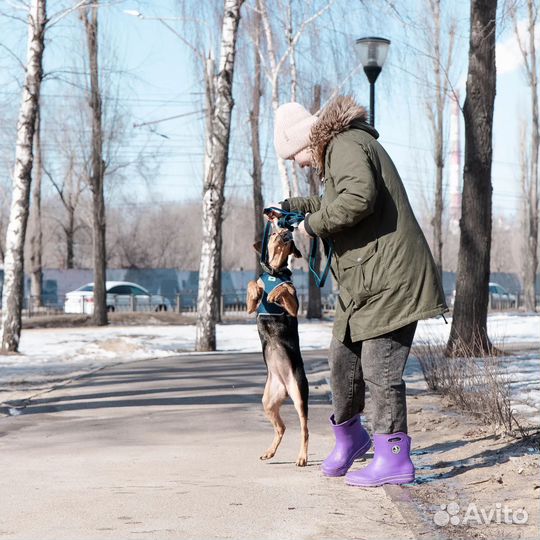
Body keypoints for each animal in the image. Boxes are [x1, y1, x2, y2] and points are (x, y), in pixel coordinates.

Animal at [246, 226, 308, 466]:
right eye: (273, 234)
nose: (286, 232)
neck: (275, 270)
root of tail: (284, 386)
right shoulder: (250, 308)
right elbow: (252, 283)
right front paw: (259, 290)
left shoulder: (293, 308)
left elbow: (285, 289)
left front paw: (274, 292)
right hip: (268, 401)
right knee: (281, 427)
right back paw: (269, 452)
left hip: (299, 394)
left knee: (304, 429)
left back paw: (302, 457)